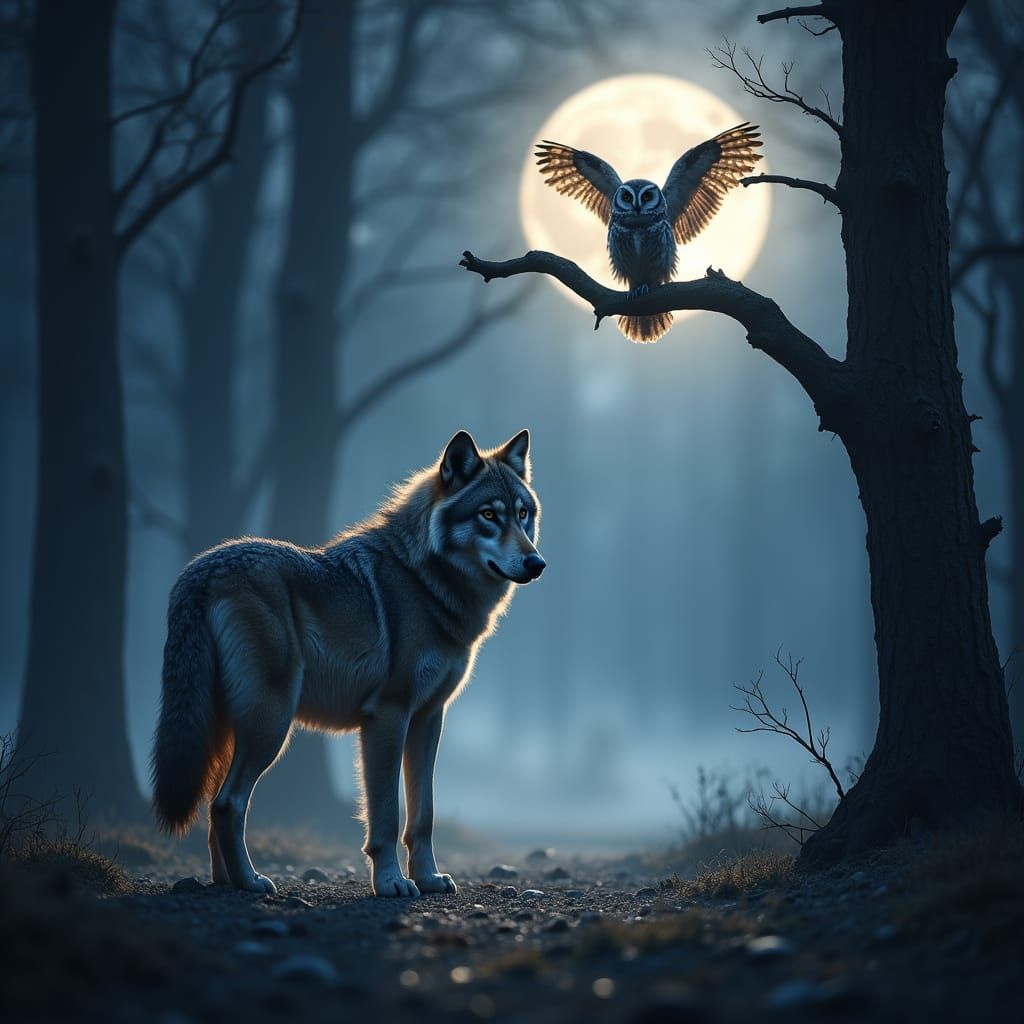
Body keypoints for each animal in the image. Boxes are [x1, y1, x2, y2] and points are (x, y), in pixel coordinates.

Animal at [151, 429, 544, 897]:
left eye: (522, 514)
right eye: (488, 515)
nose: (537, 563)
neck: (426, 581)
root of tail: (197, 569)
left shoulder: (429, 718)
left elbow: (424, 816)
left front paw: (428, 878)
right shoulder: (388, 716)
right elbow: (386, 817)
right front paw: (391, 883)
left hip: (231, 730)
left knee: (214, 806)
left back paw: (226, 883)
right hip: (271, 724)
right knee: (229, 803)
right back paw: (251, 882)